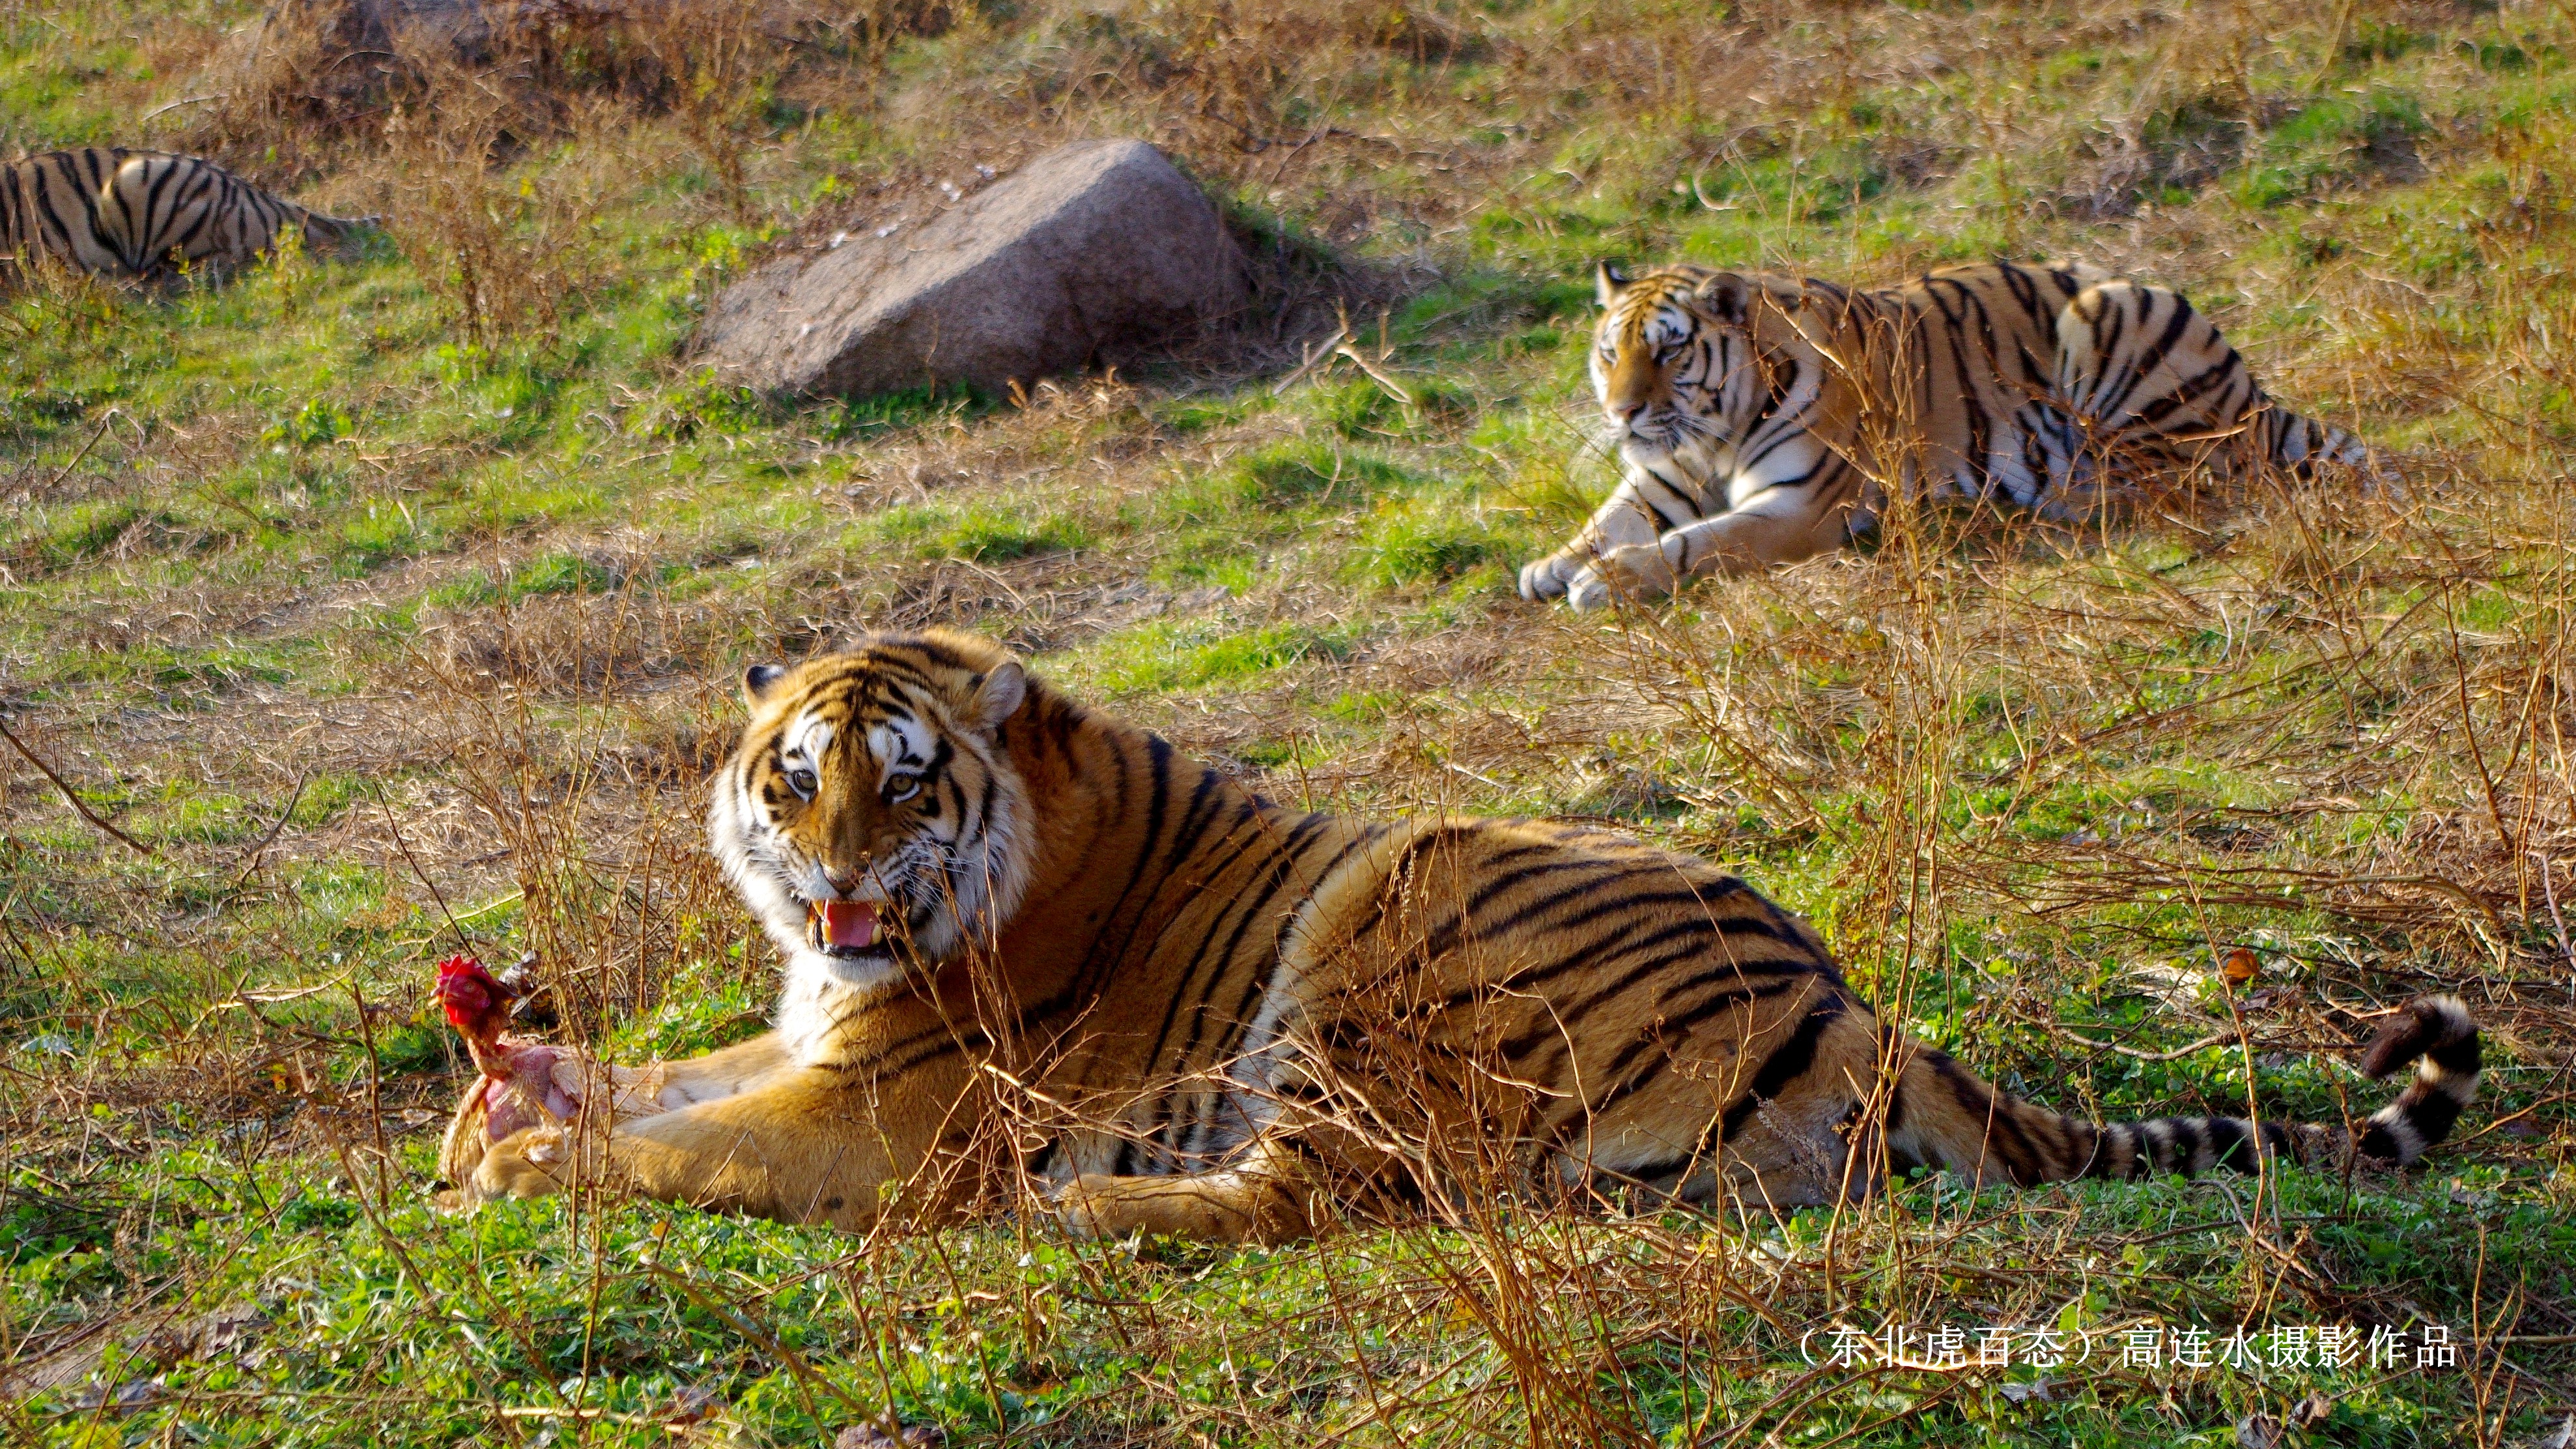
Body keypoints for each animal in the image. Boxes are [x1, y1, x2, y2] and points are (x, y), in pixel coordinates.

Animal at [438, 626, 2472, 1237]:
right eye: (791, 786)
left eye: (902, 786)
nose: (839, 891)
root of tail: (1848, 1004)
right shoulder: (811, 1036)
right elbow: (653, 1079)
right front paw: (500, 1095)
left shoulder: (887, 1112)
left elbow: (679, 1146)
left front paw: (505, 1170)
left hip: (1390, 918)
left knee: (1312, 1195)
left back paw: (1090, 1207)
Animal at [1514, 256, 2380, 605]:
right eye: (1609, 352)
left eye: (1668, 349)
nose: (1622, 412)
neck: (1713, 432)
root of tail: (2252, 389)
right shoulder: (1665, 473)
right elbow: (1612, 517)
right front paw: (1552, 565)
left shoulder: (1799, 508)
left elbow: (1698, 543)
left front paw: (1609, 580)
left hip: (2113, 313)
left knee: (2187, 479)